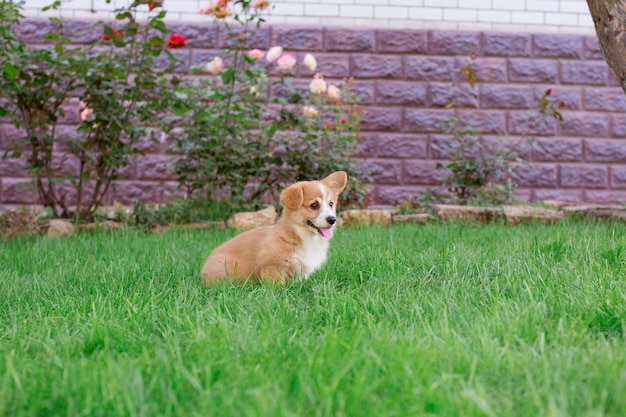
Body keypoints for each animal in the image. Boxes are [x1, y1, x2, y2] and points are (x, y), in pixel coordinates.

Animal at [201, 171, 344, 284]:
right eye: (314, 205)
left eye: (331, 204)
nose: (332, 220)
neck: (303, 235)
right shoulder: (272, 265)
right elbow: (277, 285)